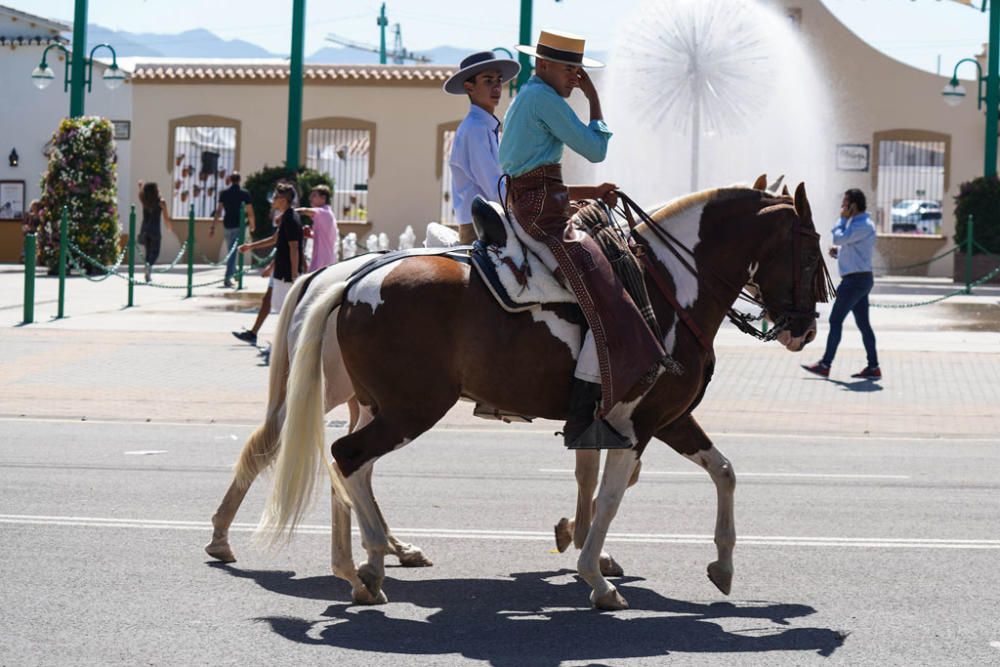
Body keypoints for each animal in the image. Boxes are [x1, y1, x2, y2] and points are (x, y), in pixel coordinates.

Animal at [258, 179, 828, 612]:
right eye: (811, 255)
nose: (806, 329)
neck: (667, 291)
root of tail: (353, 280)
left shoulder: (664, 419)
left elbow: (722, 472)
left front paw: (722, 564)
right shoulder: (638, 426)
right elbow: (611, 498)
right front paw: (596, 577)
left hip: (381, 406)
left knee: (350, 466)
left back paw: (361, 567)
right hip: (410, 409)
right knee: (347, 457)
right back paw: (371, 560)